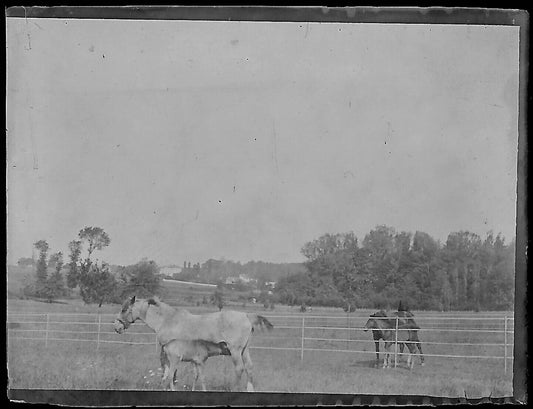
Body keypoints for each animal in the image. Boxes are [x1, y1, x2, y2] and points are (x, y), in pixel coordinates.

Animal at [114, 294, 272, 390]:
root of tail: (247, 316)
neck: (168, 320)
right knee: (250, 368)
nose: (116, 327)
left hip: (235, 351)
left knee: (239, 368)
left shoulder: (169, 352)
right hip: (245, 351)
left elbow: (170, 372)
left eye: (124, 309)